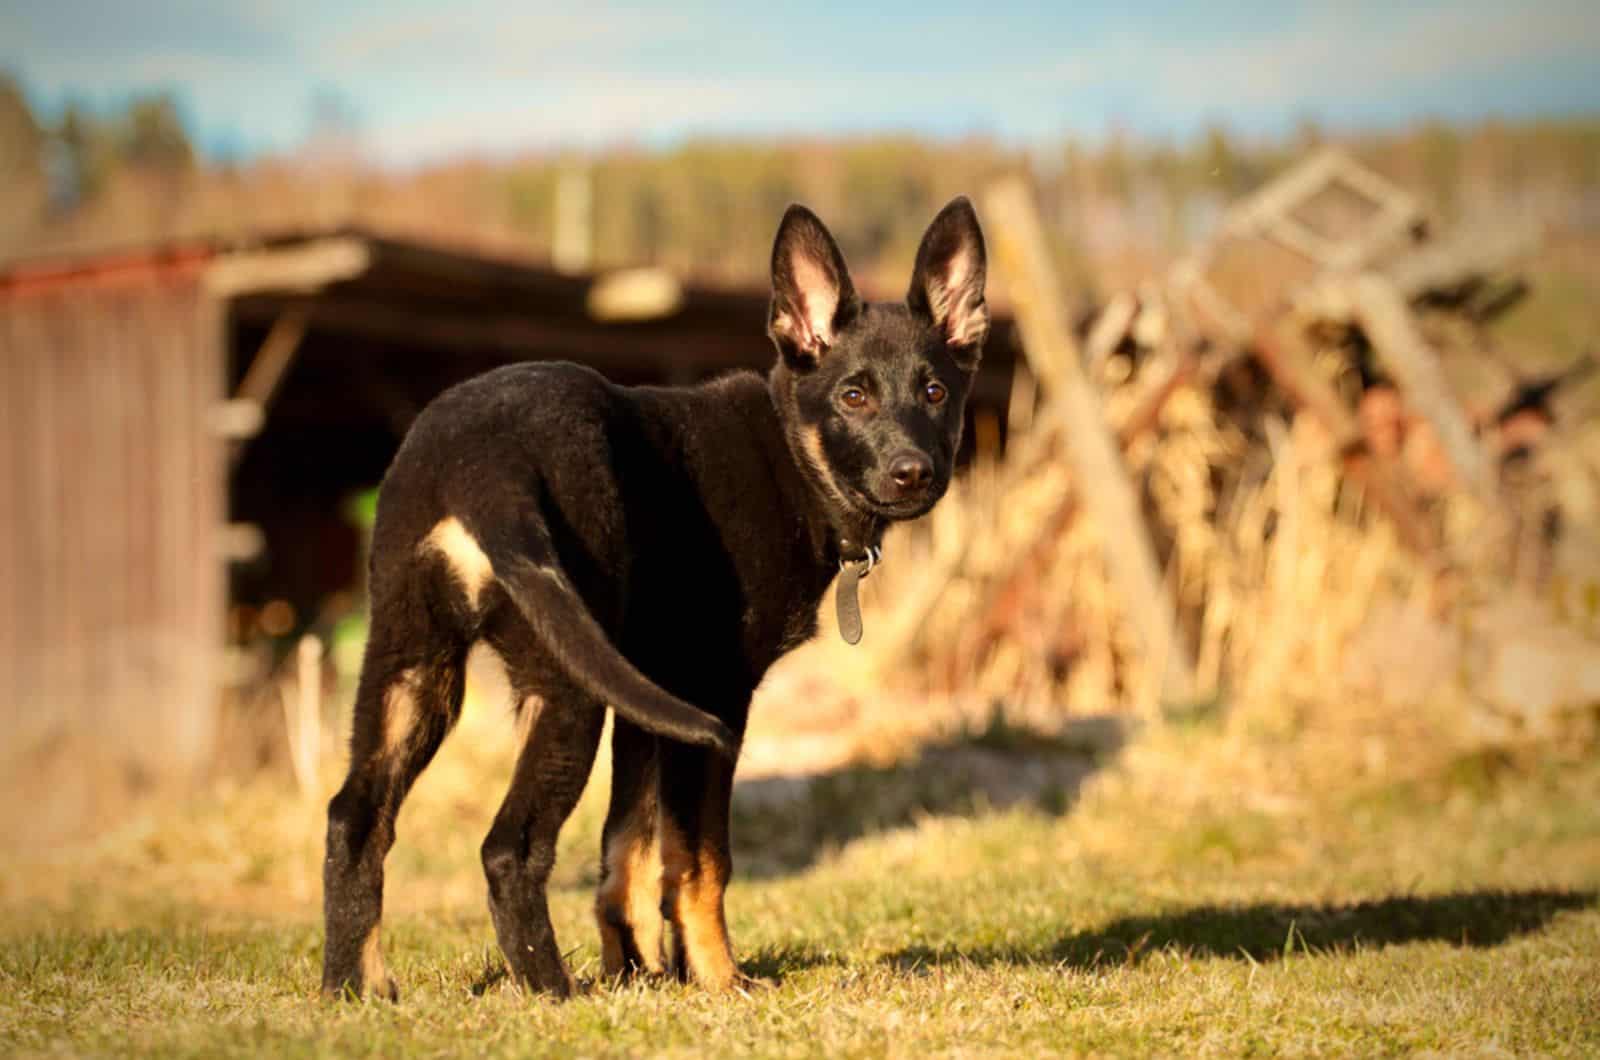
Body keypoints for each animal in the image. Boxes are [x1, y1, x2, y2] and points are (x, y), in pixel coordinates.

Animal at [323, 195, 985, 999]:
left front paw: (640, 972)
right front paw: (720, 981)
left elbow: (627, 852)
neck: (792, 457)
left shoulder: (650, 701)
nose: (912, 473)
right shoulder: (715, 698)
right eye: (853, 396)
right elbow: (699, 861)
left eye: (936, 392)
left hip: (410, 667)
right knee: (508, 847)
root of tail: (475, 466)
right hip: (564, 688)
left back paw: (351, 988)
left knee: (355, 819)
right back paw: (552, 993)